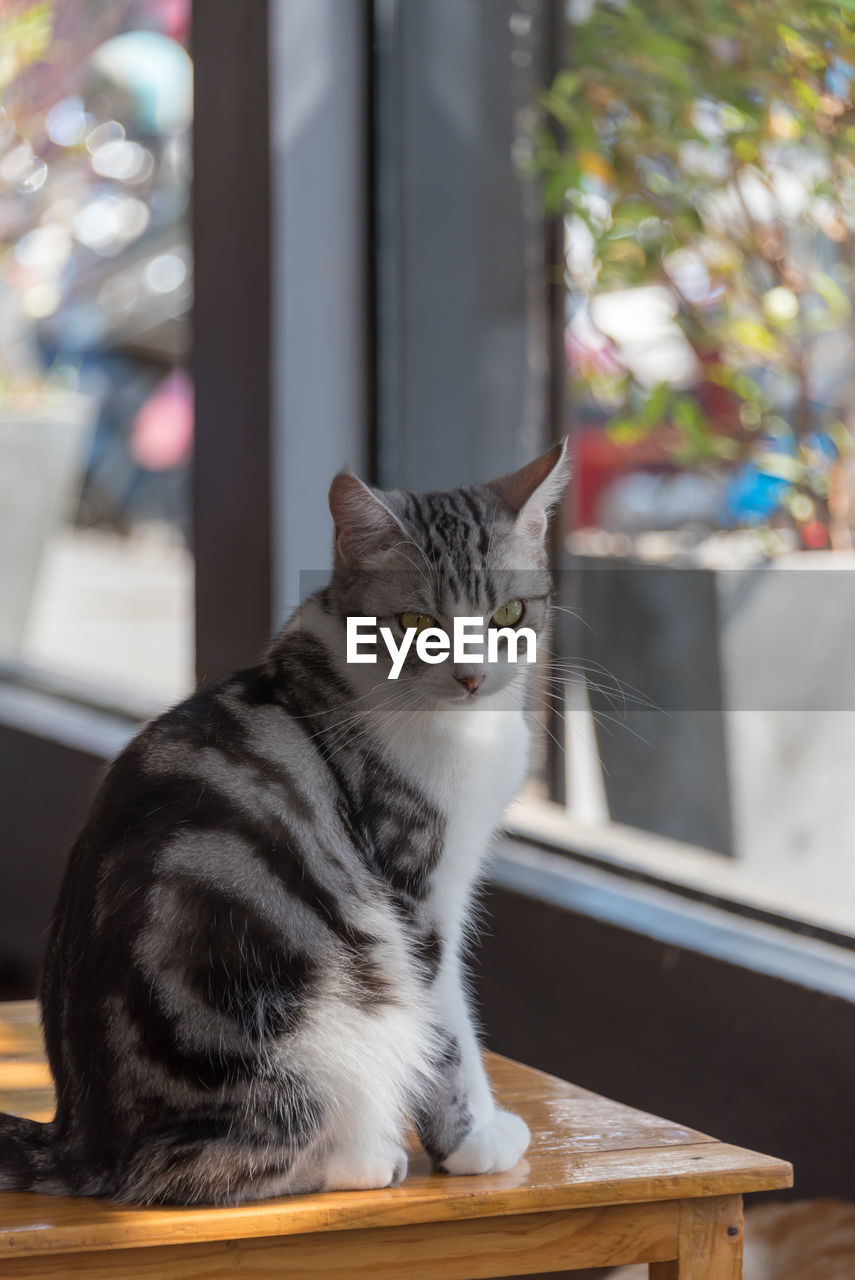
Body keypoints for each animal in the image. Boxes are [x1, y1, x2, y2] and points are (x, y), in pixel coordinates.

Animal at [0, 437, 568, 1198]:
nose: (472, 677)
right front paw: (473, 1141)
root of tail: (81, 1139)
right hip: (303, 1022)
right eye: (417, 624)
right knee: (195, 1167)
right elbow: (447, 1030)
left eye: (508, 614)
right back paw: (362, 1157)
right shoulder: (413, 891)